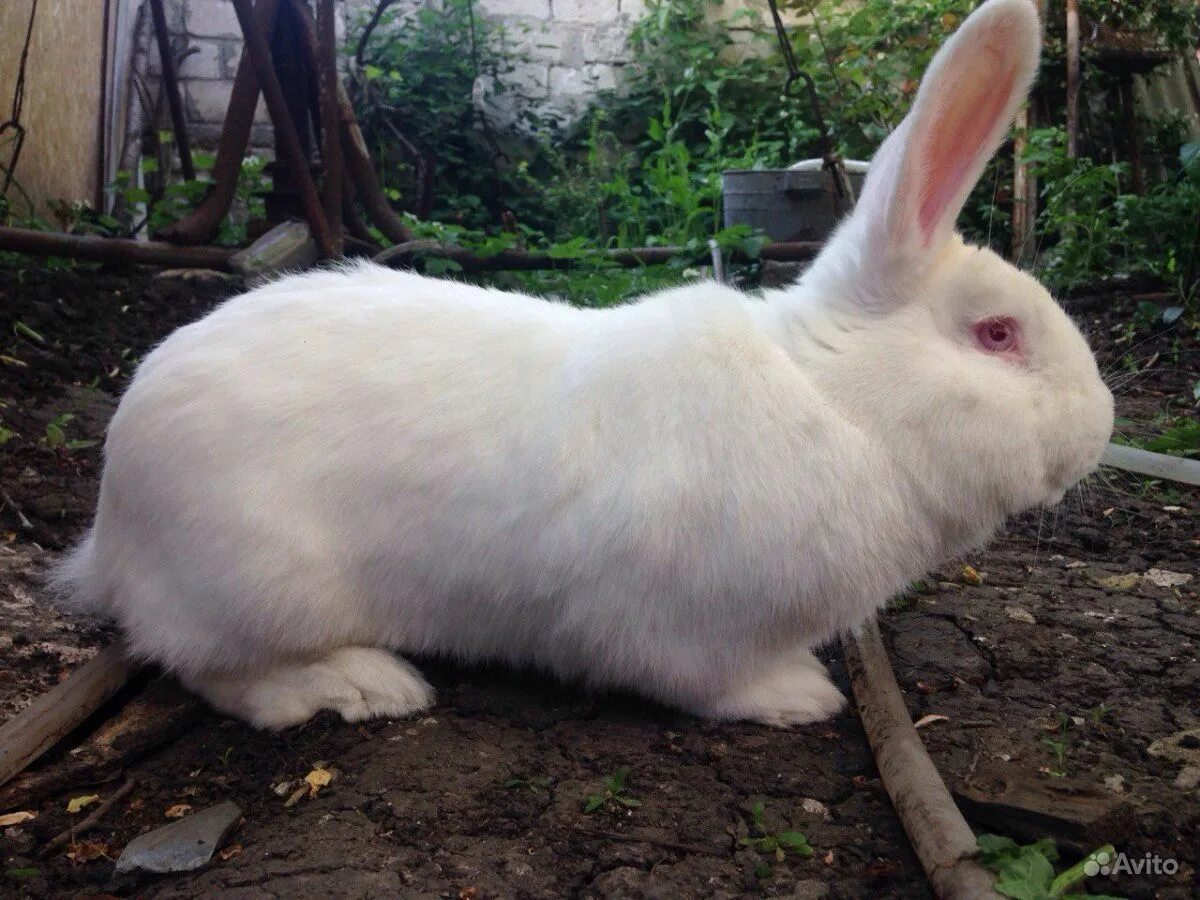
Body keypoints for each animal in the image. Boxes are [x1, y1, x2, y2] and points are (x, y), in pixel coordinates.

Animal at [49, 0, 1113, 729]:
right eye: (998, 335)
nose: (1101, 427)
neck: (837, 398)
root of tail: (113, 527)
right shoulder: (685, 629)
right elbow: (708, 680)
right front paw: (799, 698)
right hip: (261, 585)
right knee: (216, 671)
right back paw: (360, 684)